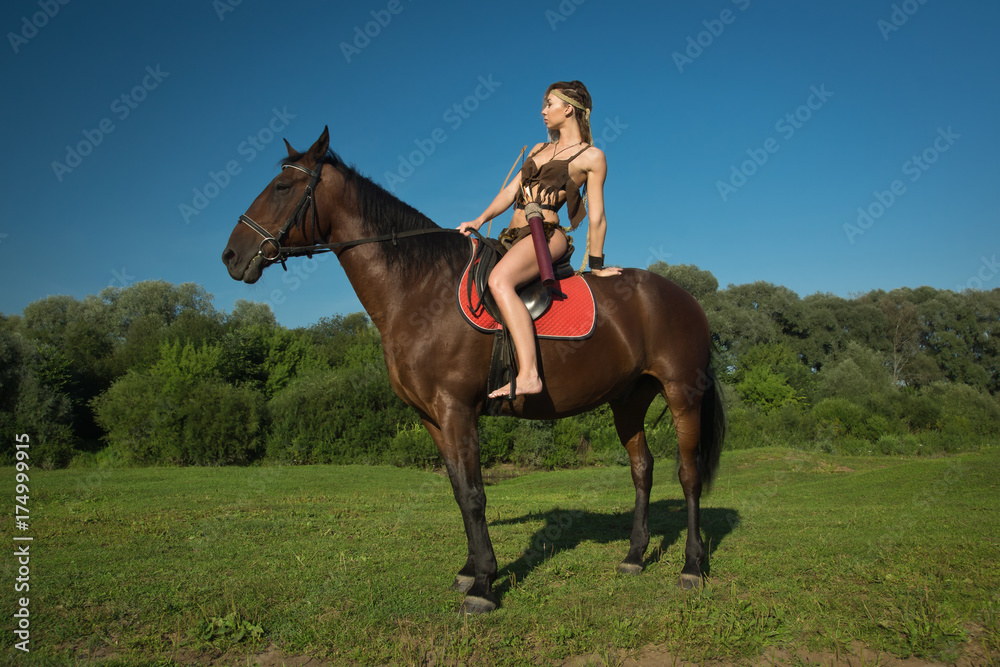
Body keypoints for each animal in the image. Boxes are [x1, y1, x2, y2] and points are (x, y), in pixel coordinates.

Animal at [223, 128, 724, 612]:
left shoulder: (457, 410)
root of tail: (686, 298)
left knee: (688, 475)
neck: (421, 289)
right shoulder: (432, 417)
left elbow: (475, 494)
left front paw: (484, 583)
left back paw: (692, 567)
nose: (230, 256)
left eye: (282, 187)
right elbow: (458, 491)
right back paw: (635, 556)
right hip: (629, 400)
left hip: (682, 394)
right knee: (642, 469)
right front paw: (469, 571)